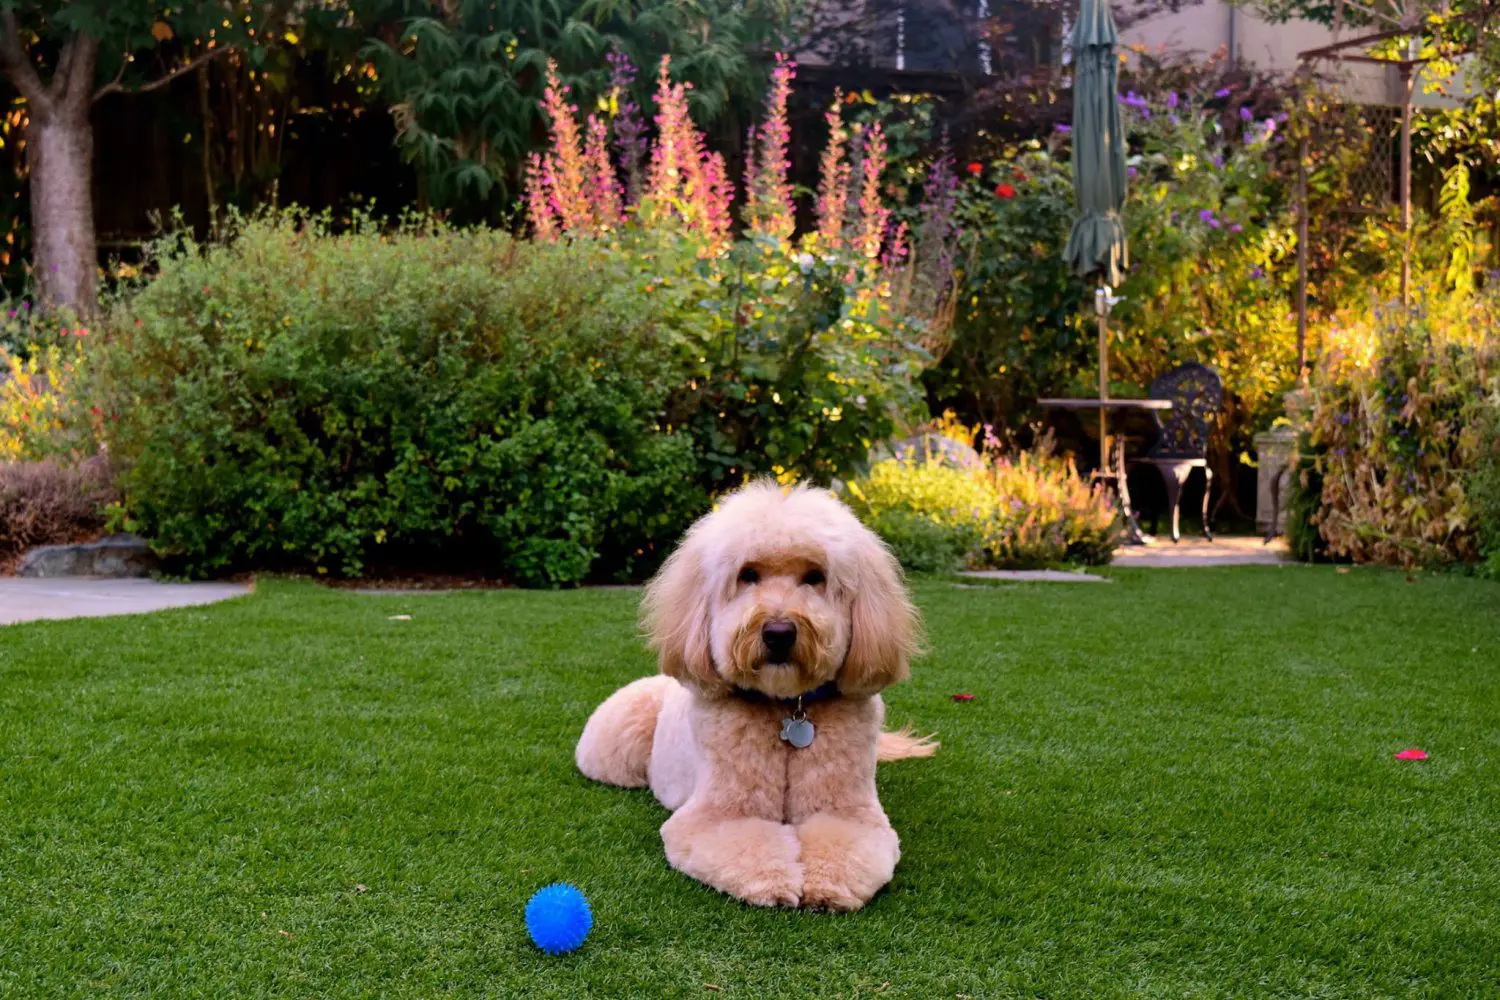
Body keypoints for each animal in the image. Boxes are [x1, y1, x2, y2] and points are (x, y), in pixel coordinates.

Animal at [570, 479, 930, 911]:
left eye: (815, 576)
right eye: (748, 574)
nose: (779, 633)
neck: (788, 710)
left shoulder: (851, 811)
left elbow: (844, 845)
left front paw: (829, 884)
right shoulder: (717, 814)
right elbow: (750, 845)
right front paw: (775, 881)